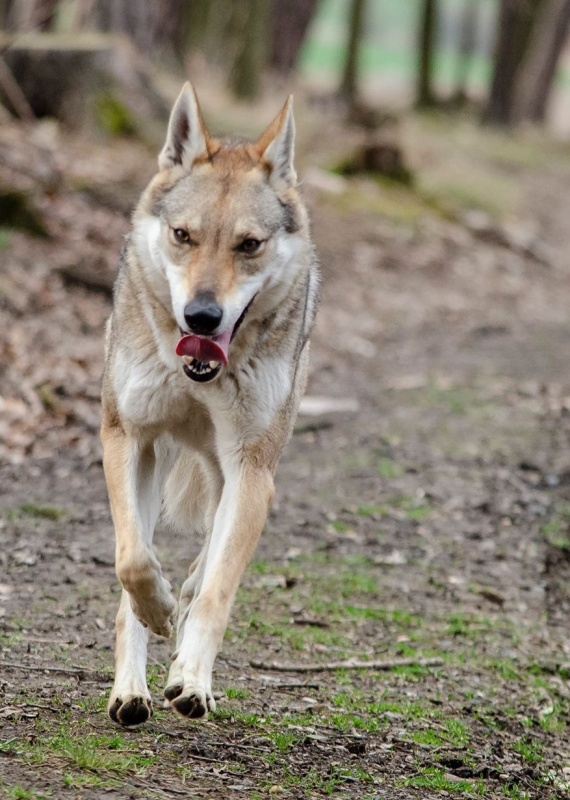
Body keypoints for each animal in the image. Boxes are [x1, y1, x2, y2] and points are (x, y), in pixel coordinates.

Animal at [100, 83, 318, 724]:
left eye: (249, 245)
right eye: (183, 236)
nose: (201, 317)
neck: (198, 380)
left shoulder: (252, 471)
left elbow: (218, 588)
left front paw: (192, 679)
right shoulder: (127, 437)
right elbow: (133, 561)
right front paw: (156, 613)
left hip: (229, 477)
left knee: (206, 567)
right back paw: (131, 691)